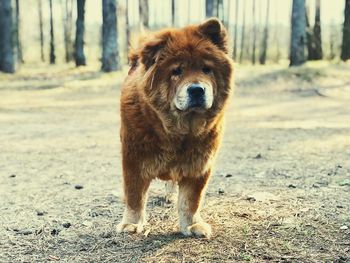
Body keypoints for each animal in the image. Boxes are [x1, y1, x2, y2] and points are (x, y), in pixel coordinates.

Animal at [116, 17, 234, 238]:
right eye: (176, 71)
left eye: (207, 69)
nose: (197, 89)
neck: (177, 132)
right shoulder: (134, 159)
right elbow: (134, 196)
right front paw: (131, 224)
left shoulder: (199, 164)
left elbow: (191, 200)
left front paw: (192, 225)